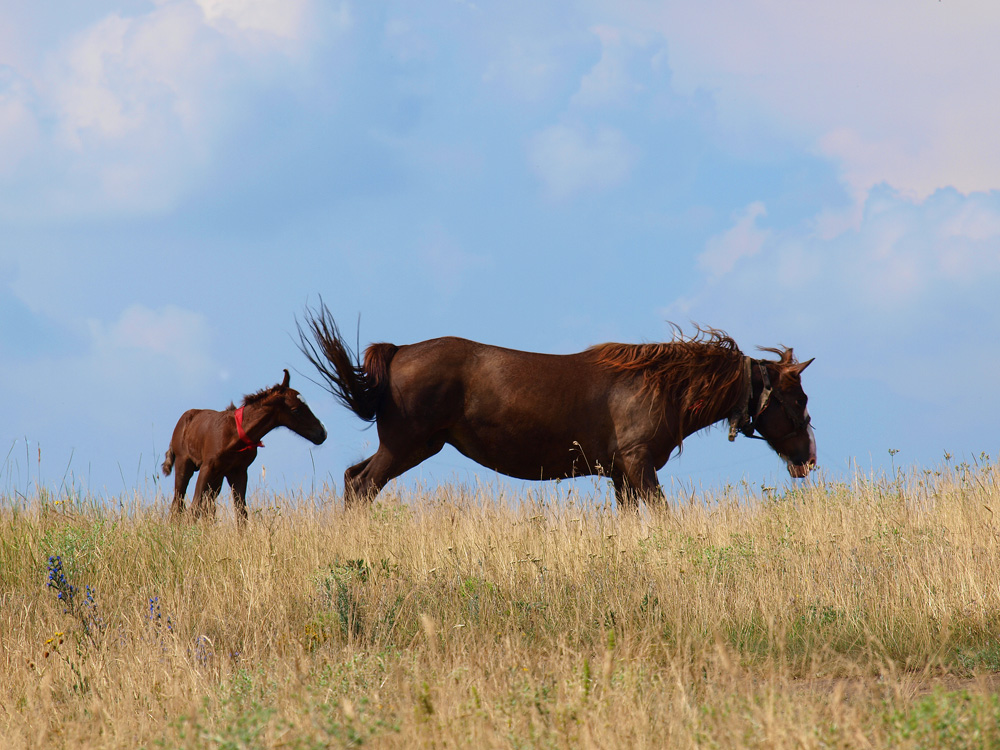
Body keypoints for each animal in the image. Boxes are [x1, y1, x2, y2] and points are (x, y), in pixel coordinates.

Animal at [164, 368, 326, 524]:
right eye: (296, 410)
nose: (322, 433)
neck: (236, 435)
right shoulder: (207, 467)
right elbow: (195, 507)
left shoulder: (238, 471)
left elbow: (241, 513)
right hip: (184, 464)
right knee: (178, 504)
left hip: (217, 478)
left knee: (208, 507)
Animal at [296, 306, 812, 512]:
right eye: (799, 399)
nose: (807, 459)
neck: (658, 384)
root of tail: (399, 351)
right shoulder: (639, 466)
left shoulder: (621, 476)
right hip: (407, 446)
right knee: (363, 485)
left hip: (412, 447)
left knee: (353, 480)